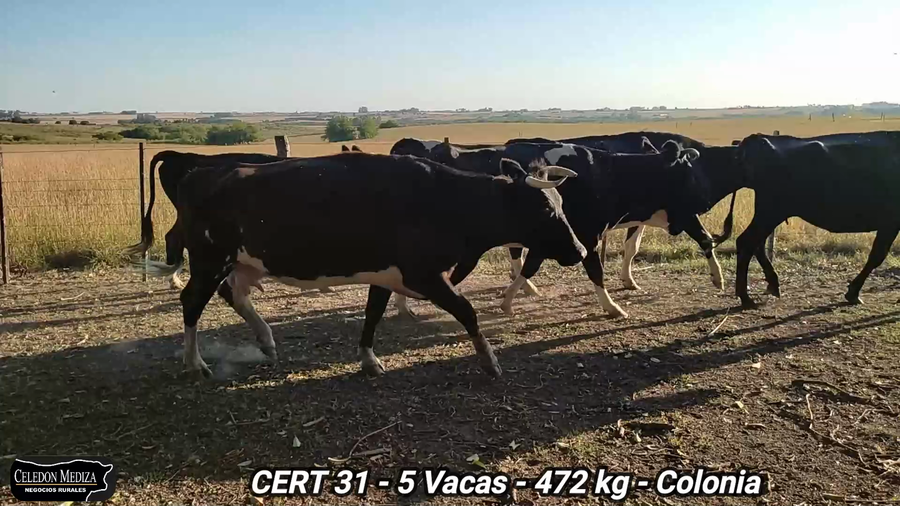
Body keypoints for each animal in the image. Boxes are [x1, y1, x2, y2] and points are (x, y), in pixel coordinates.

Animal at [141, 152, 586, 378]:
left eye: (562, 204)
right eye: (546, 209)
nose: (581, 252)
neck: (445, 198)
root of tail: (201, 171)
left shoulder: (384, 274)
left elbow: (372, 315)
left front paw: (369, 360)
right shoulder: (424, 273)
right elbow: (466, 311)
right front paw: (488, 359)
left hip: (238, 262)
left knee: (231, 294)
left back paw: (265, 339)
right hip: (210, 259)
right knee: (191, 302)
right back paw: (194, 361)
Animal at [734, 131, 900, 308]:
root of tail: (759, 138)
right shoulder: (890, 222)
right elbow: (877, 256)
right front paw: (853, 293)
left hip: (769, 214)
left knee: (757, 244)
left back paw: (771, 285)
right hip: (771, 212)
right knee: (747, 242)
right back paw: (745, 297)